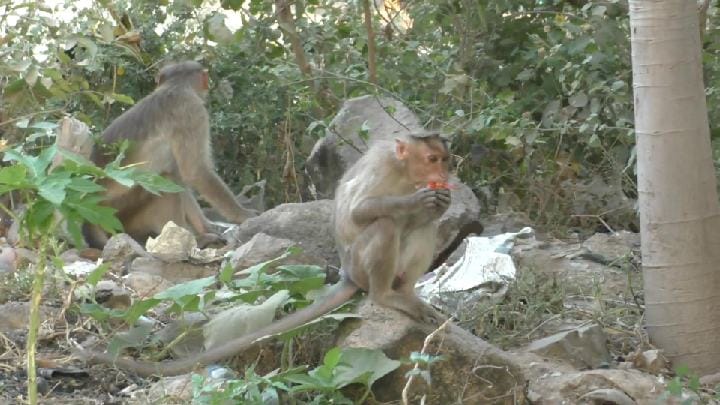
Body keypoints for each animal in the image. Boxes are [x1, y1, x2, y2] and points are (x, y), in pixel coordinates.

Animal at [76, 129, 452, 376]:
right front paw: (415, 201)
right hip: (360, 263)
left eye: (444, 160)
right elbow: (359, 212)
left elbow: (425, 217)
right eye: (432, 159)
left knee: (424, 226)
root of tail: (348, 274)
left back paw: (406, 291)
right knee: (386, 225)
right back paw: (385, 294)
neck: (403, 172)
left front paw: (439, 203)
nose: (445, 174)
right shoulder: (381, 168)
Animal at [83, 61, 258, 248]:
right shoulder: (193, 112)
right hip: (120, 213)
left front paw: (208, 227)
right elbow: (195, 172)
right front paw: (242, 214)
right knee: (166, 180)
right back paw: (191, 239)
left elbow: (183, 176)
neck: (175, 86)